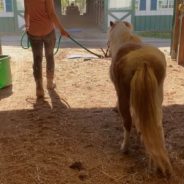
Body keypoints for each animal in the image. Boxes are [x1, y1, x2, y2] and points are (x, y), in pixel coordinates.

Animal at [108, 20, 172, 175]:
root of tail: (143, 62)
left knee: (127, 122)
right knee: (157, 126)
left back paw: (124, 148)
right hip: (157, 98)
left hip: (124, 97)